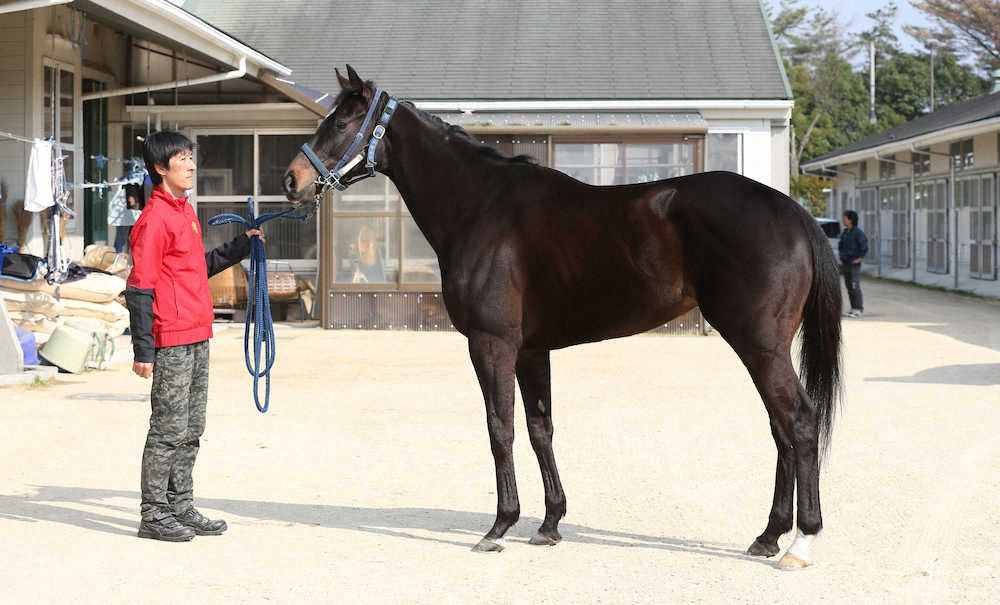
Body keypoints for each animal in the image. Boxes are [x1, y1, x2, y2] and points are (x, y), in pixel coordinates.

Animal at [284, 68, 844, 568]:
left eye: (340, 122)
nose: (292, 179)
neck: (479, 206)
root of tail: (792, 212)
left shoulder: (491, 344)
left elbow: (500, 428)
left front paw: (500, 526)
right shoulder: (532, 349)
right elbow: (540, 428)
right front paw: (550, 523)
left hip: (759, 345)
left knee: (799, 422)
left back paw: (801, 542)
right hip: (762, 348)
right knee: (780, 428)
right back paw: (768, 536)